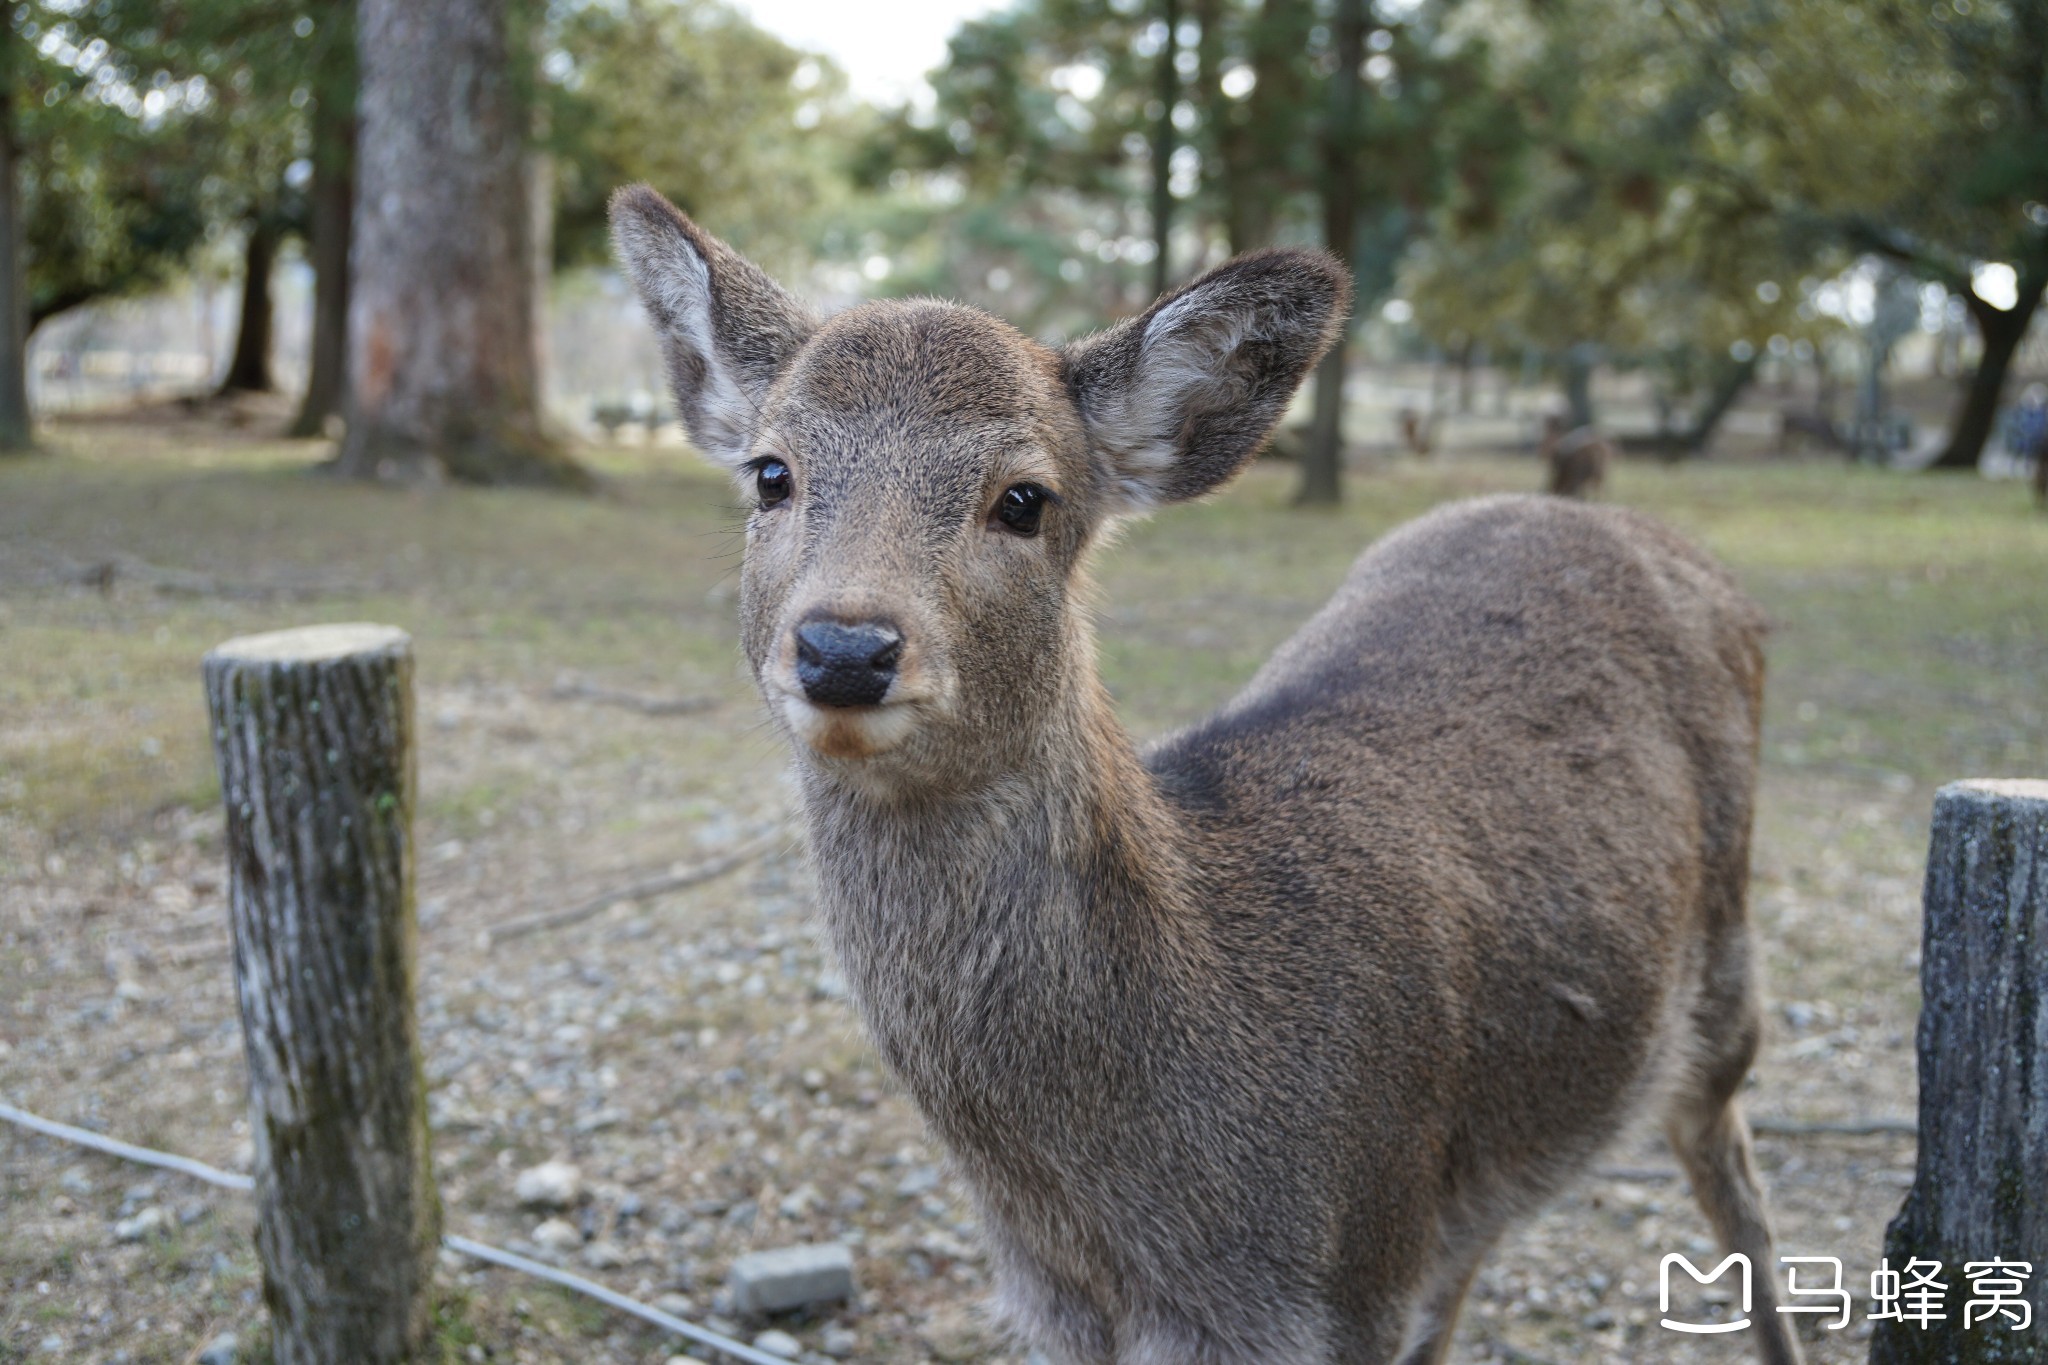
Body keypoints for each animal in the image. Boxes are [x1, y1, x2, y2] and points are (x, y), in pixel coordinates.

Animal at [614, 184, 1802, 1365]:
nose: (846, 648)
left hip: (1727, 977)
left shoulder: (1350, 1273)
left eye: (1024, 498)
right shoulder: (1058, 1304)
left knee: (1729, 1164)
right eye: (771, 474)